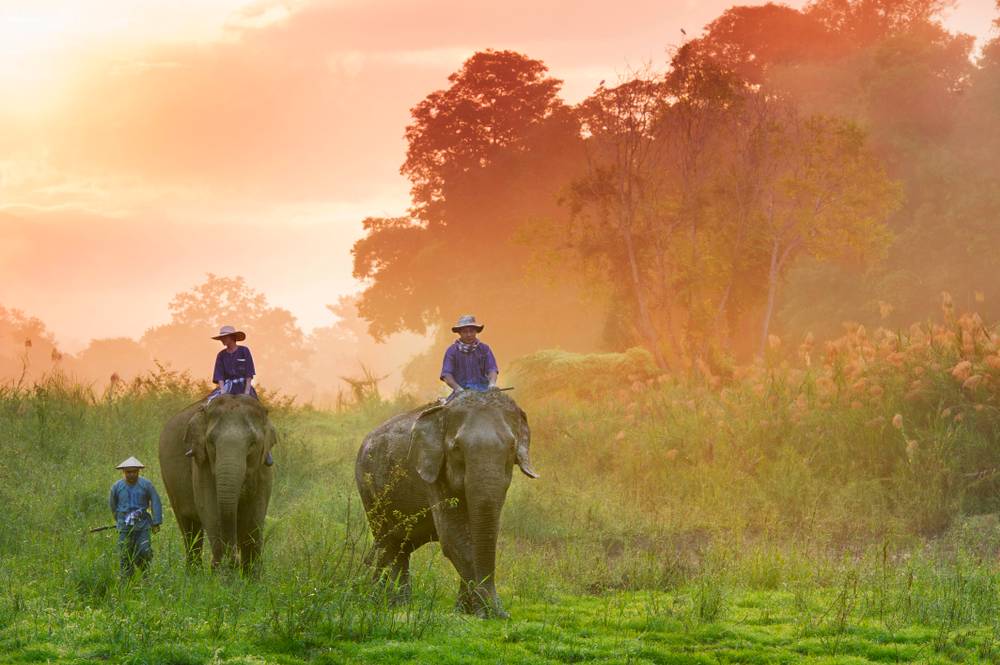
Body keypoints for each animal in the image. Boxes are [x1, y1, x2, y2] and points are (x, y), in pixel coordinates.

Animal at [158, 394, 276, 574]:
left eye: (252, 443)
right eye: (211, 443)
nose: (233, 560)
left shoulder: (263, 467)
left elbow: (254, 516)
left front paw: (252, 577)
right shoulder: (202, 464)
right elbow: (211, 509)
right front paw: (223, 574)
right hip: (169, 480)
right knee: (189, 528)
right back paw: (194, 574)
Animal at [355, 389, 537, 618]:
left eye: (512, 446)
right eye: (457, 448)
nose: (504, 615)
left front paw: (466, 611)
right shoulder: (432, 472)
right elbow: (454, 538)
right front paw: (486, 613)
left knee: (400, 544)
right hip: (368, 486)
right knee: (389, 542)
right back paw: (393, 603)